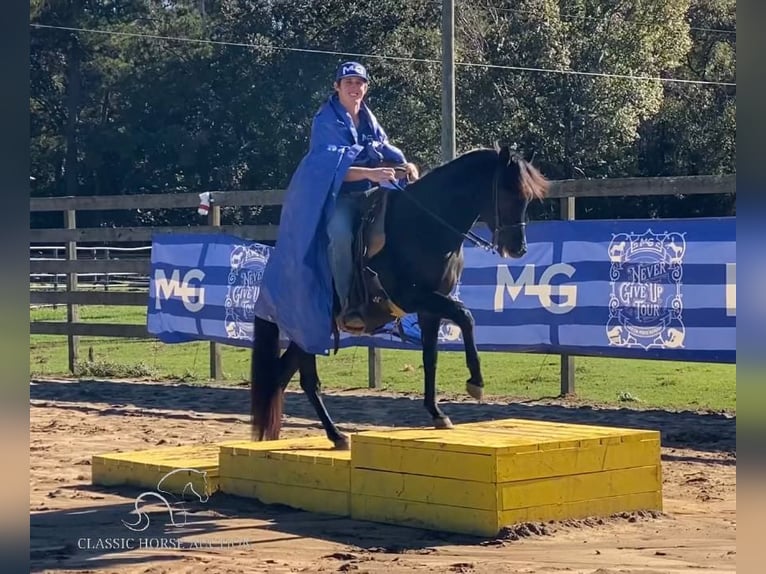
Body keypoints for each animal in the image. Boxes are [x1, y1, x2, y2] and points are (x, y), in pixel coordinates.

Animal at [252, 144, 552, 450]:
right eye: (507, 191)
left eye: (527, 197)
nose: (518, 248)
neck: (423, 227)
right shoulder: (414, 297)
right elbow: (465, 316)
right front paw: (476, 382)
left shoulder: (430, 307)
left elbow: (431, 357)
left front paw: (437, 413)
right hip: (310, 325)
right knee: (307, 381)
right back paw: (336, 435)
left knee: (280, 375)